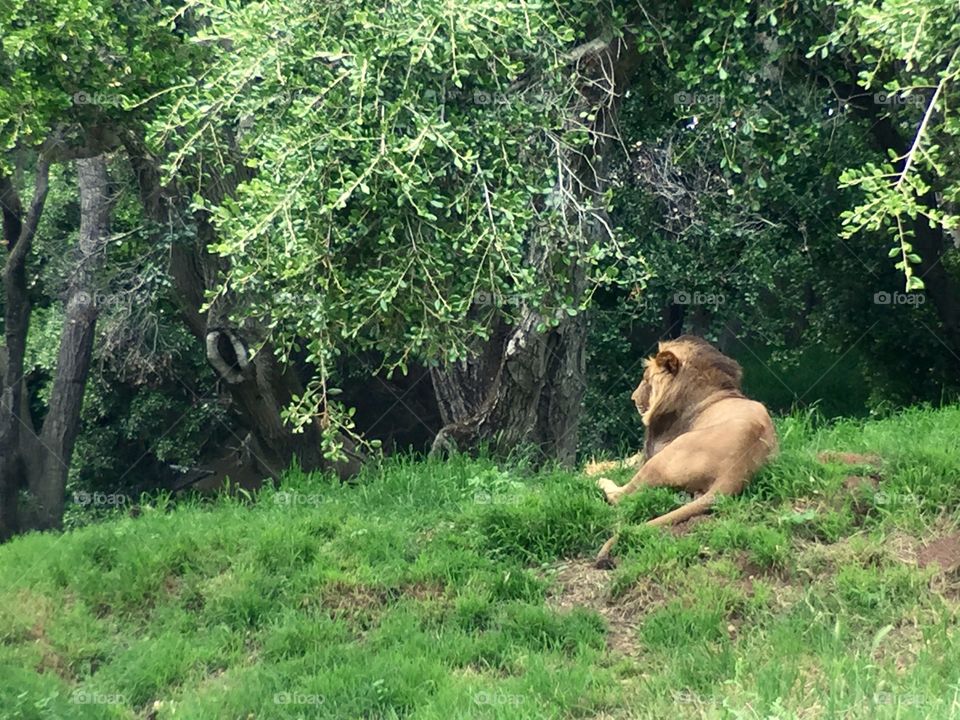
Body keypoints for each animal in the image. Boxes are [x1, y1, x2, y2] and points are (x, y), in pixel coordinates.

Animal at [586, 335, 778, 567]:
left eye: (646, 379)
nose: (633, 398)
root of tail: (738, 467)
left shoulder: (653, 449)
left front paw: (588, 472)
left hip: (663, 458)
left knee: (620, 497)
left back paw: (603, 483)